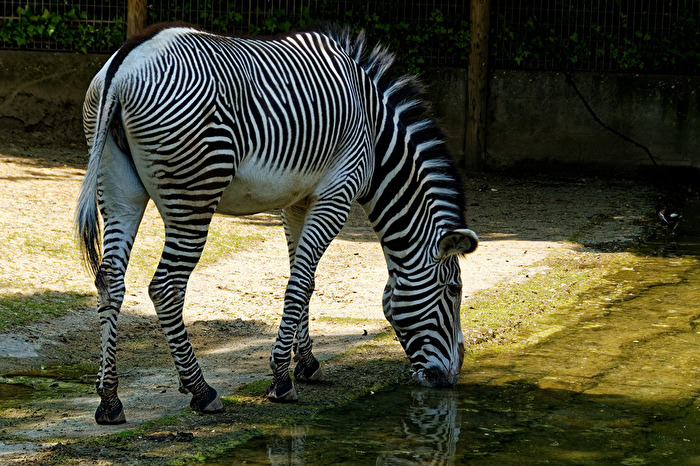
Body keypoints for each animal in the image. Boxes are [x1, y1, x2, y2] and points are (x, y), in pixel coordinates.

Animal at [76, 23, 478, 425]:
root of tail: (124, 65)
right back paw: (201, 390)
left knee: (110, 281)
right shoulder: (337, 194)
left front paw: (307, 363)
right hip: (194, 193)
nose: (452, 378)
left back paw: (109, 400)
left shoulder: (297, 201)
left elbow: (306, 280)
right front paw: (282, 379)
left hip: (118, 190)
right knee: (166, 287)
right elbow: (299, 284)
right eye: (454, 290)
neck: (376, 135)